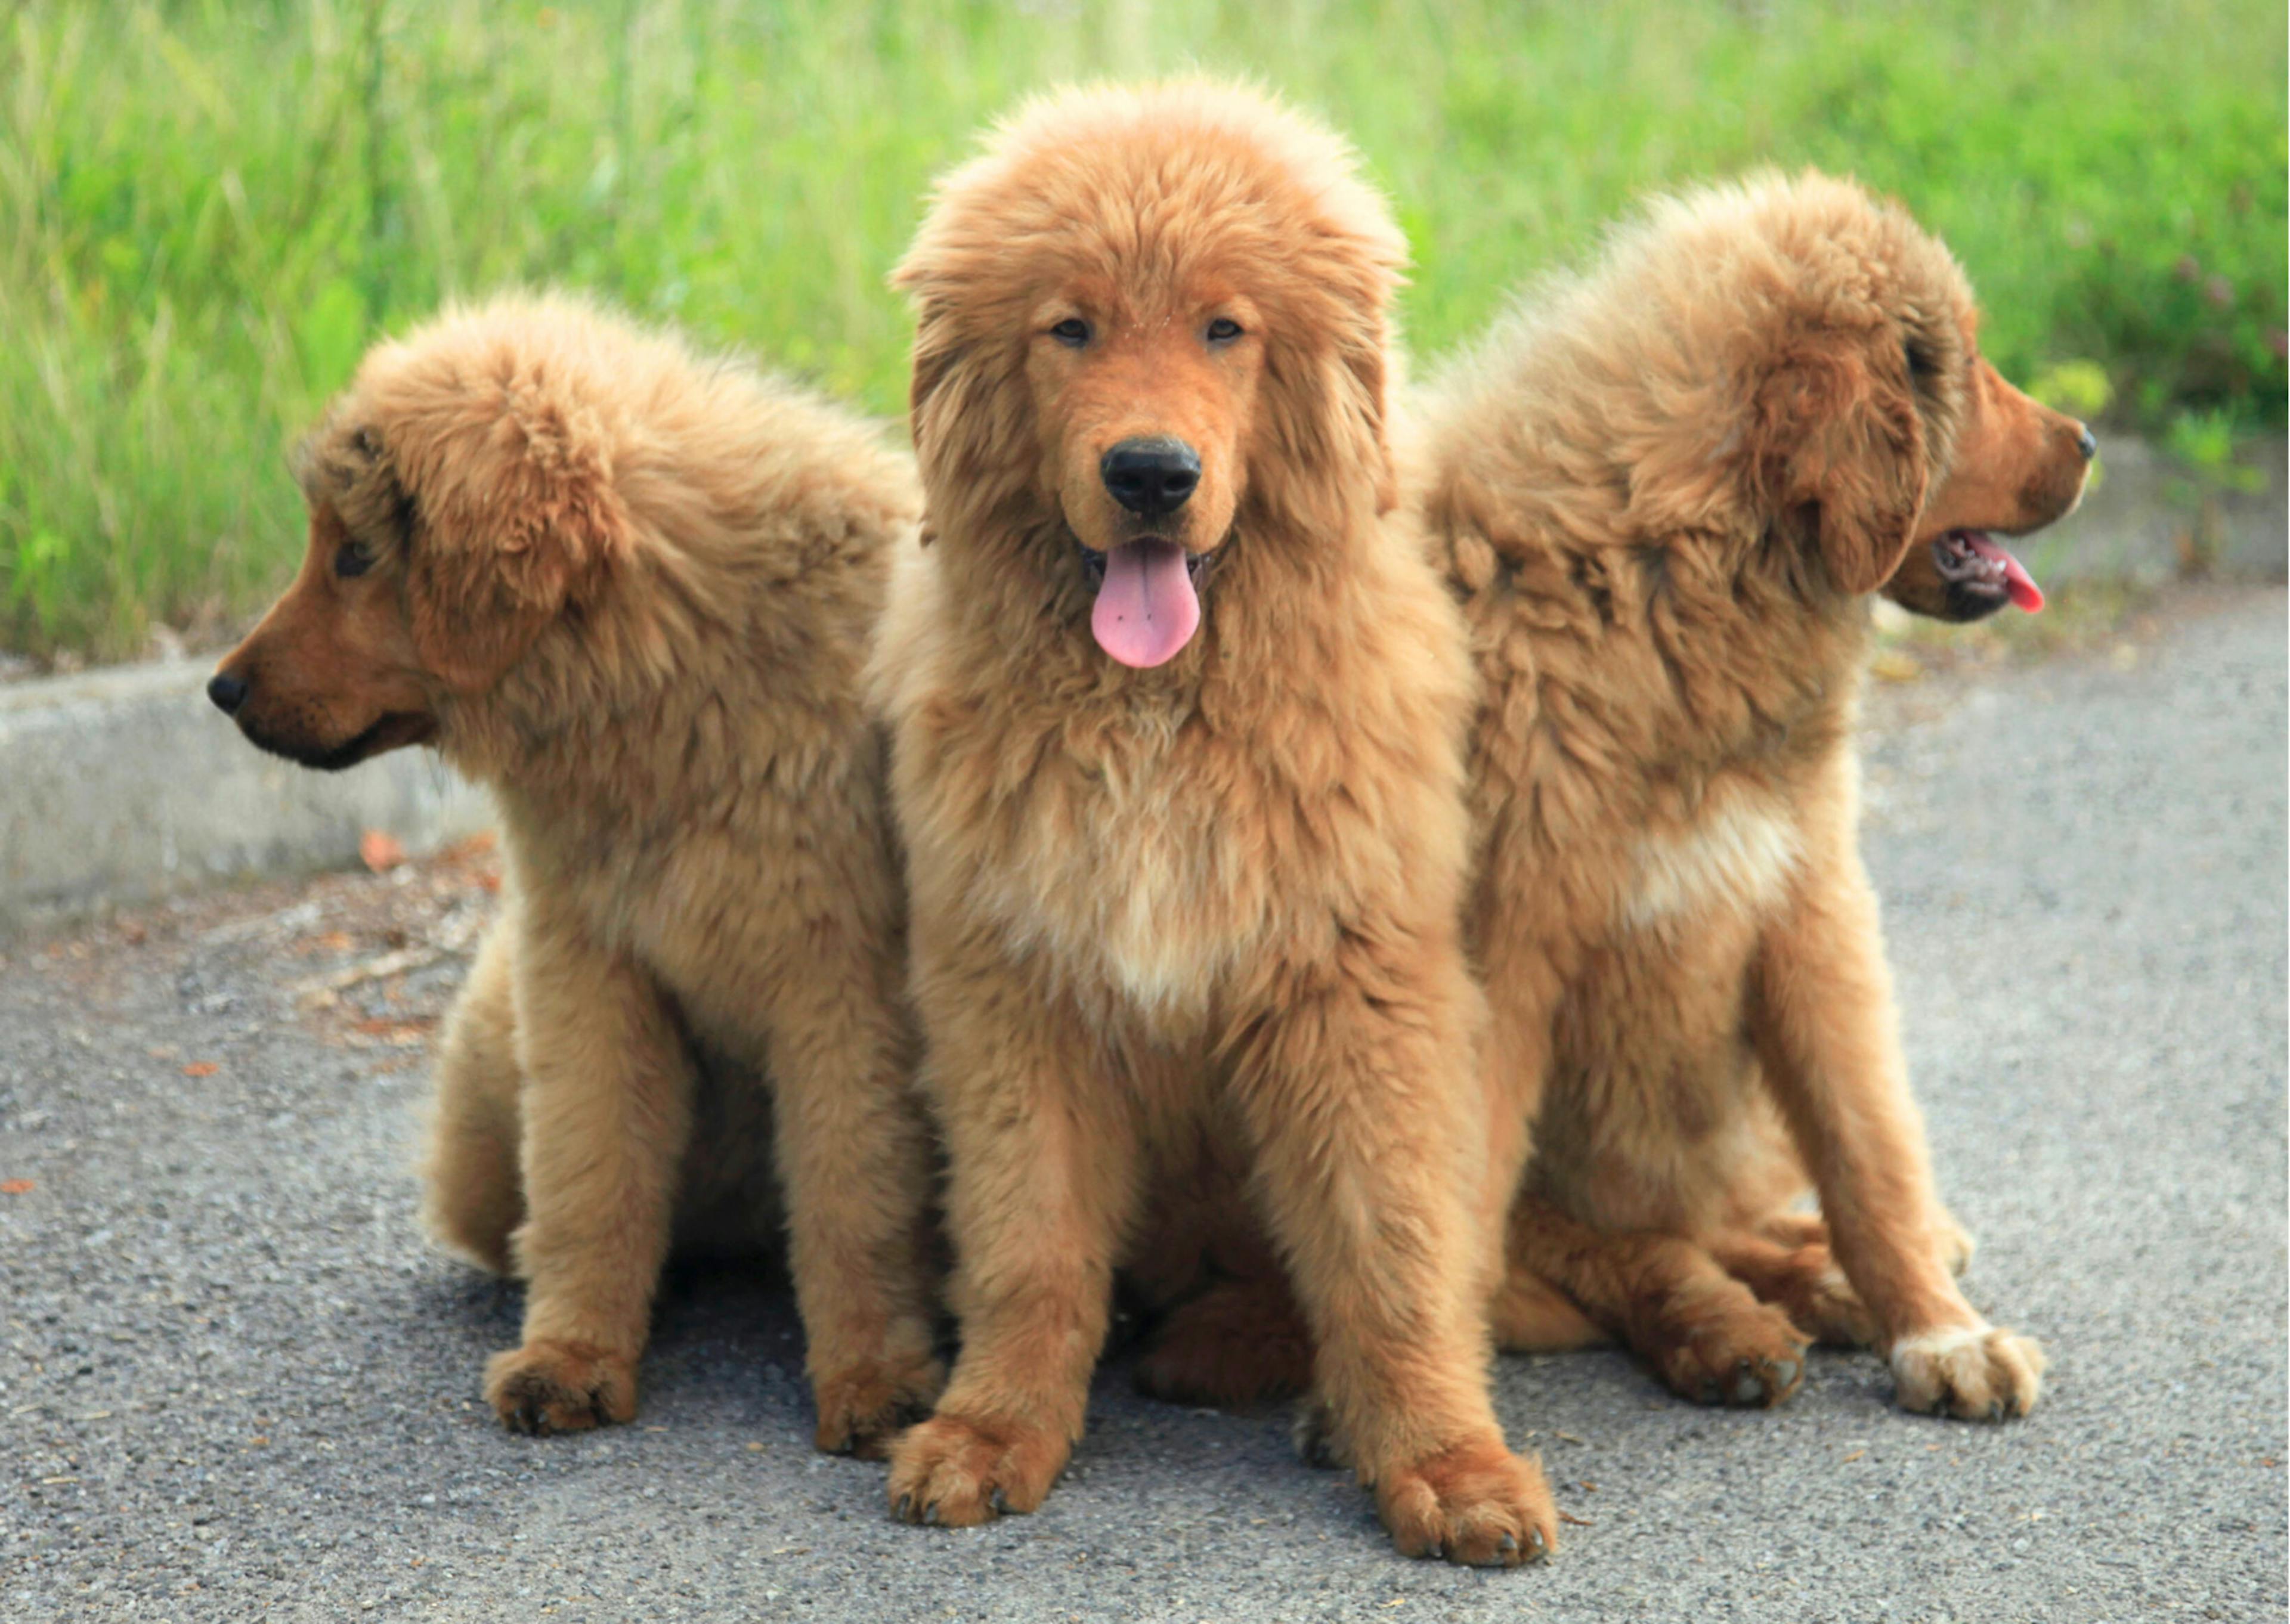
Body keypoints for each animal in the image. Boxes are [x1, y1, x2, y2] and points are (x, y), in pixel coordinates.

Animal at [206, 297, 939, 1448]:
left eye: (357, 555)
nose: (221, 689)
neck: (673, 679)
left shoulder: (841, 981)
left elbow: (851, 1190)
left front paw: (873, 1381)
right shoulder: (586, 962)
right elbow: (593, 1169)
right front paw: (572, 1359)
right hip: (480, 1104)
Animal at [870, 82, 1557, 1566]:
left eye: (1223, 329)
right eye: (1070, 327)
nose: (1149, 473)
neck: (1157, 719)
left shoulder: (1356, 989)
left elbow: (1390, 1249)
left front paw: (1448, 1466)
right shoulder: (1015, 990)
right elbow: (1029, 1241)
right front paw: (990, 1434)